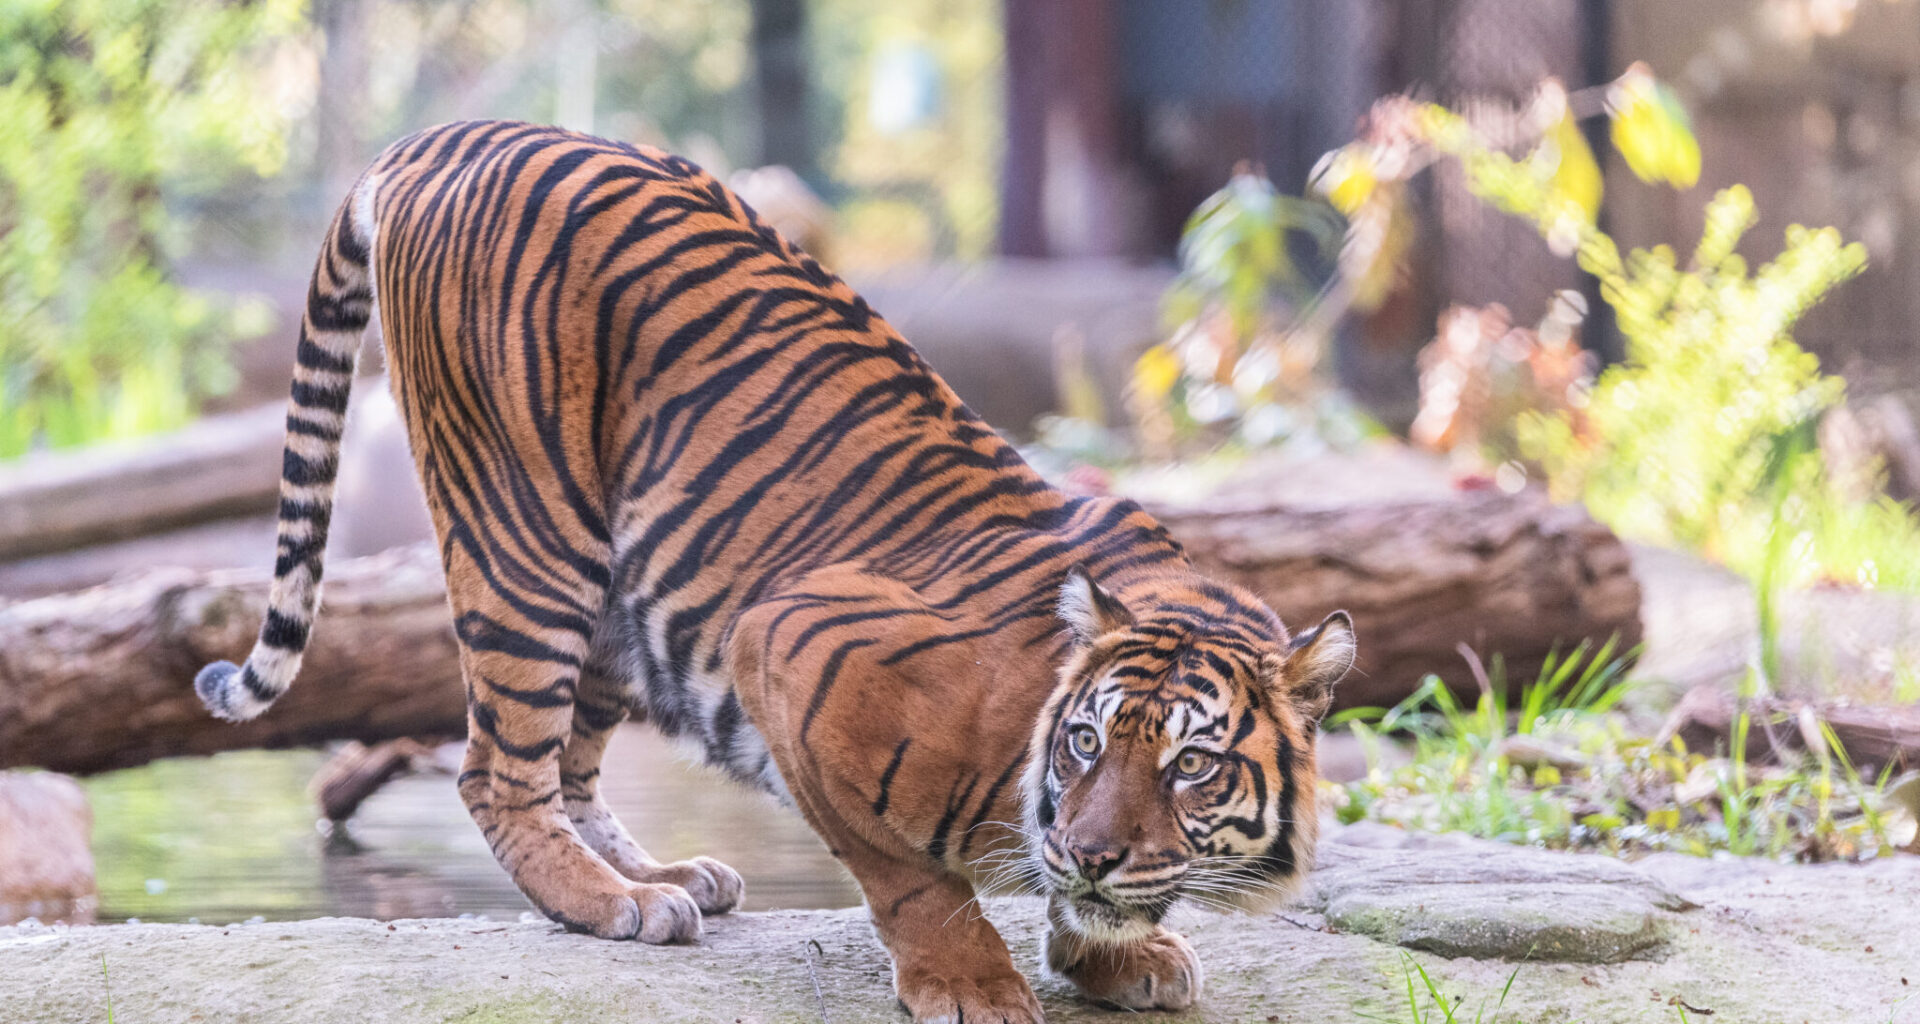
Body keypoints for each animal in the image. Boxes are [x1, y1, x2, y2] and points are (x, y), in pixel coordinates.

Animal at [193, 120, 1356, 1022]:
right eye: (1083, 742)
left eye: (1192, 765)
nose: (1093, 854)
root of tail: (444, 134)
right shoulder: (793, 643)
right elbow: (907, 872)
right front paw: (972, 980)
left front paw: (1117, 949)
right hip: (526, 531)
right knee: (497, 768)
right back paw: (608, 901)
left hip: (615, 588)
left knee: (571, 762)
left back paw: (660, 874)